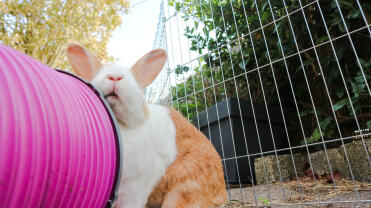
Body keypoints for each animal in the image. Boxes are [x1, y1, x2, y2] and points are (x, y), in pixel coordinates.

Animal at [68, 43, 228, 207]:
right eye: (100, 73)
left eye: (132, 77)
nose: (115, 77)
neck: (123, 125)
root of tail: (222, 194)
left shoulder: (134, 189)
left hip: (184, 187)